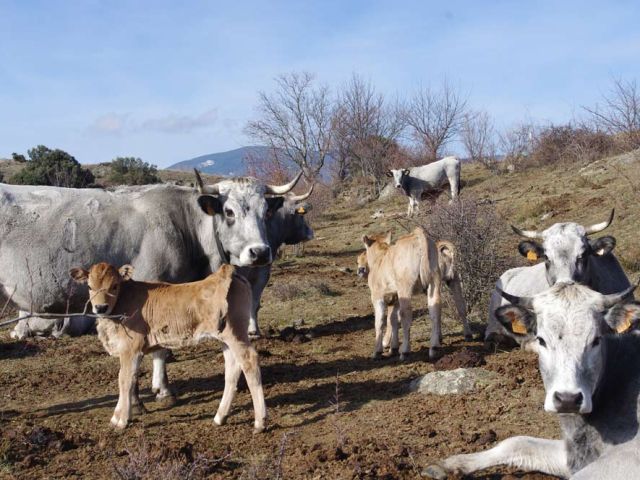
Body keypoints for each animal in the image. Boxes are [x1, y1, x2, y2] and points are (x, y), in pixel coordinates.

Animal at [70, 262, 268, 432]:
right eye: (90, 287)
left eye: (114, 286)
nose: (100, 307)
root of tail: (224, 274)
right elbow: (129, 378)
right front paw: (118, 416)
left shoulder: (131, 347)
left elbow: (124, 380)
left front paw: (121, 420)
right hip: (226, 338)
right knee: (232, 368)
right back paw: (220, 417)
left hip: (235, 333)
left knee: (249, 361)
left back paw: (260, 422)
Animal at [362, 229, 472, 360]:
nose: (361, 269)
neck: (379, 259)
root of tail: (418, 235)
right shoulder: (395, 298)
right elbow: (393, 319)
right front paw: (392, 348)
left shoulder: (378, 297)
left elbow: (380, 322)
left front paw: (378, 351)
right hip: (440, 281)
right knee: (444, 307)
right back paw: (436, 346)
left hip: (405, 286)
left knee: (406, 314)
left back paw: (405, 351)